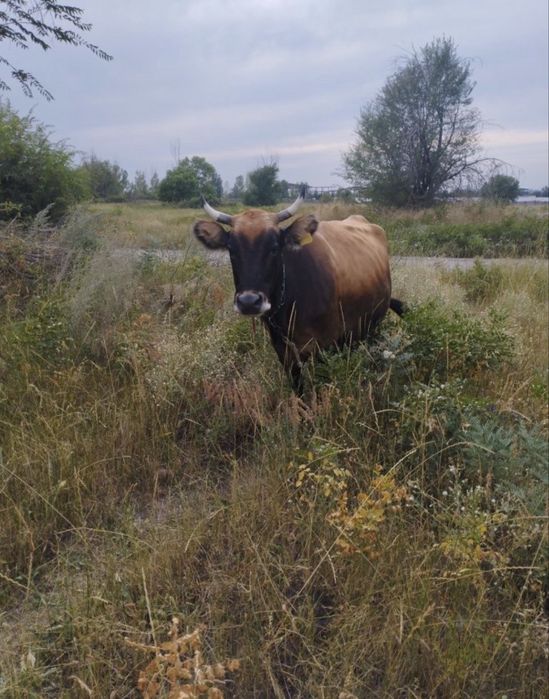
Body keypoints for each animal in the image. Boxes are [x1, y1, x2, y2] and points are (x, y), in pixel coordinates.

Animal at [193, 188, 404, 391]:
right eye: (231, 250)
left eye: (274, 247)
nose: (249, 302)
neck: (290, 305)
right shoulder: (284, 352)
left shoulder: (325, 347)